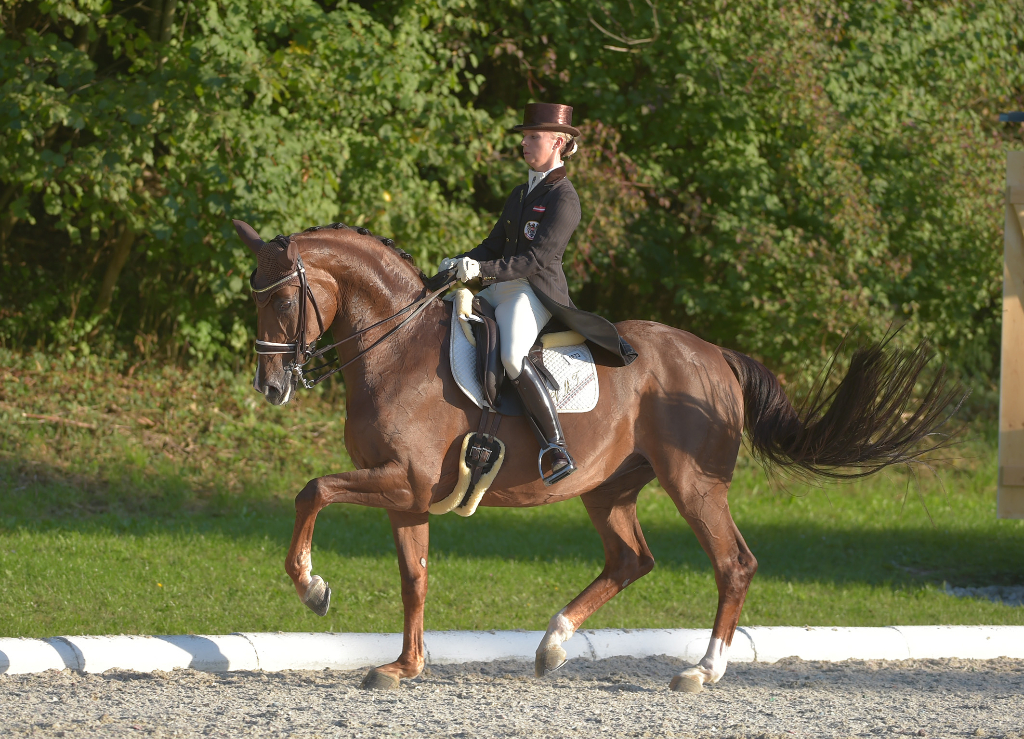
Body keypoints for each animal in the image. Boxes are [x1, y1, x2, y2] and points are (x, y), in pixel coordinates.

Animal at [235, 219, 962, 691]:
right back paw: (554, 643)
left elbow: (313, 490)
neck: (397, 352)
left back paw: (702, 670)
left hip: (694, 483)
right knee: (631, 559)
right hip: (608, 487)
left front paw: (312, 588)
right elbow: (415, 576)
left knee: (733, 563)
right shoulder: (408, 495)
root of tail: (714, 355)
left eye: (283, 295)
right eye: (253, 291)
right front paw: (403, 667)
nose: (270, 386)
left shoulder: (400, 480)